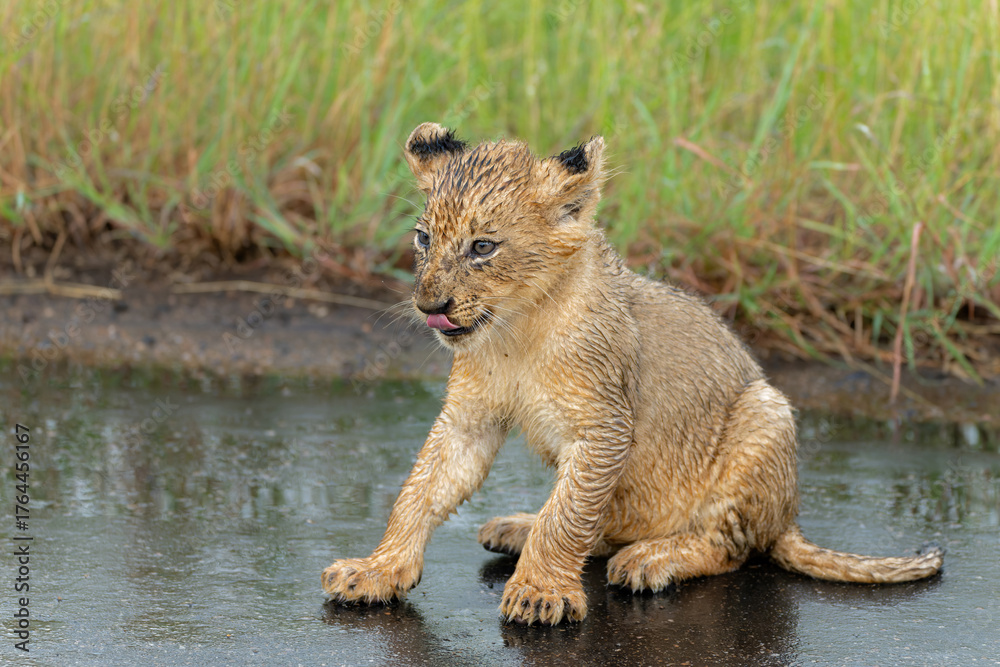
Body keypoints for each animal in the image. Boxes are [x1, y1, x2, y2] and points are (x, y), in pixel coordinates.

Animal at [321, 122, 943, 625]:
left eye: (483, 247)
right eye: (424, 237)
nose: (430, 305)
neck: (518, 327)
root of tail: (787, 519)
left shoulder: (605, 426)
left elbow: (567, 514)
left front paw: (541, 592)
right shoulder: (469, 417)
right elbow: (422, 488)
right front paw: (377, 569)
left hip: (764, 413)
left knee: (730, 547)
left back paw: (651, 558)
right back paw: (517, 528)